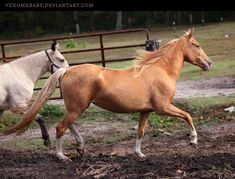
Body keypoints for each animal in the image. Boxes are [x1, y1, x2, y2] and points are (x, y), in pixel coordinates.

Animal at [6, 28, 213, 161]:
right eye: (196, 45)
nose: (209, 63)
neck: (160, 70)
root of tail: (67, 71)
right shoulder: (163, 108)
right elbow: (187, 115)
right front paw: (193, 140)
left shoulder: (146, 111)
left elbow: (140, 131)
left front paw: (139, 154)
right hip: (77, 108)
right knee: (60, 127)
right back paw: (61, 156)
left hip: (75, 108)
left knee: (68, 125)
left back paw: (80, 147)